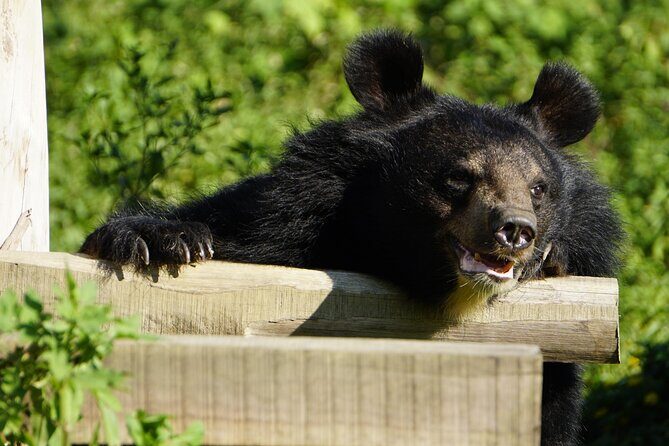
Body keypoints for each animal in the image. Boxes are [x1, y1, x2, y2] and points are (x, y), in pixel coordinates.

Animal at [80, 30, 623, 445]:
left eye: (538, 189)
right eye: (457, 178)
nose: (516, 231)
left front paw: (555, 257)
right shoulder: (287, 217)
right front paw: (164, 241)